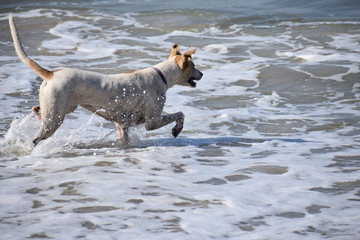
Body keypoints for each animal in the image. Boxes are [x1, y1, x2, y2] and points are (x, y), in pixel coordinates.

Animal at [8, 16, 204, 146]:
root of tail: (51, 74)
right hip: (54, 119)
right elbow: (180, 114)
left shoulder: (123, 125)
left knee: (37, 111)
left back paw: (37, 114)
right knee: (36, 138)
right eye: (194, 66)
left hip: (58, 108)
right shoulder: (152, 122)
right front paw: (177, 129)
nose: (202, 74)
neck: (161, 75)